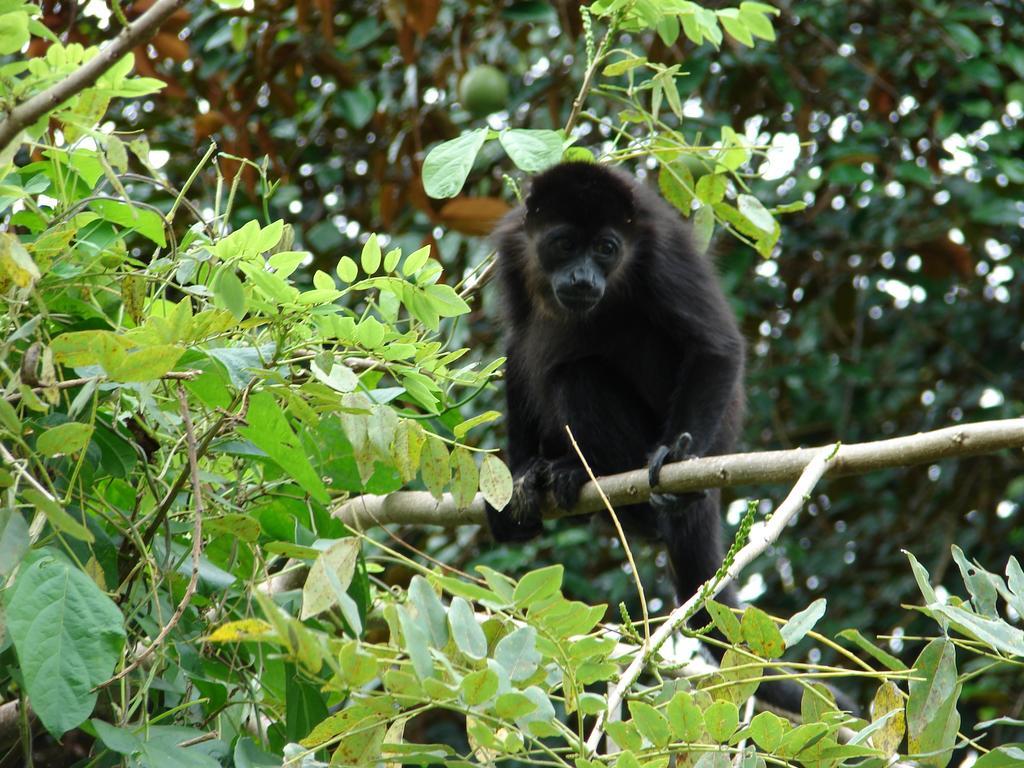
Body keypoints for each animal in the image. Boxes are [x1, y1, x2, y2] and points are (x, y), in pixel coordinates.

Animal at [485, 160, 831, 716]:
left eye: (606, 248)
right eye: (564, 244)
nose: (583, 277)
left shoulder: (662, 251)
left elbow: (715, 346)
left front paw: (674, 457)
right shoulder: (514, 248)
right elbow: (515, 346)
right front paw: (515, 481)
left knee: (577, 372)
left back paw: (599, 482)